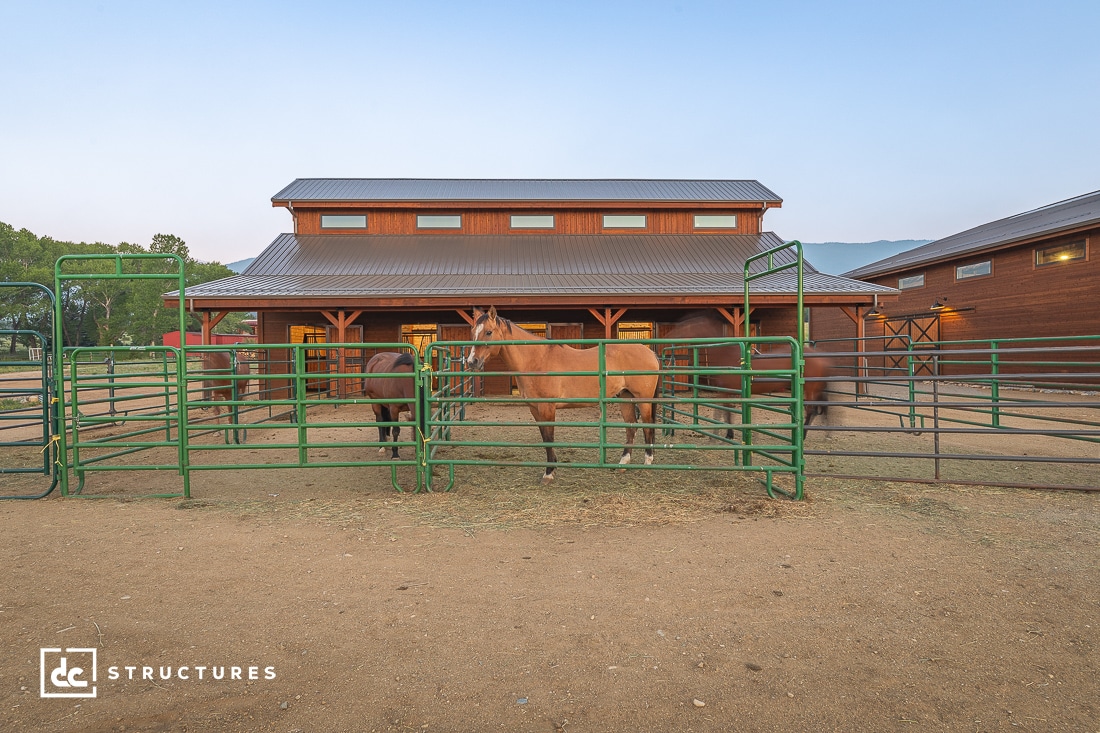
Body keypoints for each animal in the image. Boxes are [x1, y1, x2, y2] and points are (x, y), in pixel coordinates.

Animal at [466, 305, 655, 482]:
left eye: (489, 332)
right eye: (473, 332)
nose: (471, 361)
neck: (536, 360)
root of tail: (650, 352)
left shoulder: (547, 408)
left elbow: (550, 437)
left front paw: (549, 473)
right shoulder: (535, 409)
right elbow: (544, 437)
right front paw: (552, 467)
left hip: (642, 399)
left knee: (647, 425)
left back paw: (648, 462)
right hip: (625, 396)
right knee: (631, 426)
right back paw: (623, 463)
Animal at [664, 310, 836, 435]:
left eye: (684, 326)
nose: (668, 337)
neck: (726, 355)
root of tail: (821, 357)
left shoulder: (728, 391)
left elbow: (727, 411)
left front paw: (728, 435)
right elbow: (724, 411)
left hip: (809, 388)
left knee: (811, 410)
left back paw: (805, 435)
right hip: (814, 387)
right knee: (821, 407)